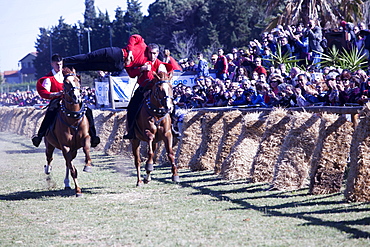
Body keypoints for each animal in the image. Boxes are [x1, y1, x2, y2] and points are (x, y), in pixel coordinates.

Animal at [43, 67, 92, 197]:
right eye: (66, 83)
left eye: (77, 80)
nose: (76, 97)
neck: (73, 118)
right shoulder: (65, 146)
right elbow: (73, 169)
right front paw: (78, 190)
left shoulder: (85, 138)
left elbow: (86, 148)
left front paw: (88, 165)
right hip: (50, 145)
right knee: (50, 157)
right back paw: (48, 169)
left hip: (73, 149)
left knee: (67, 163)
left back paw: (67, 183)